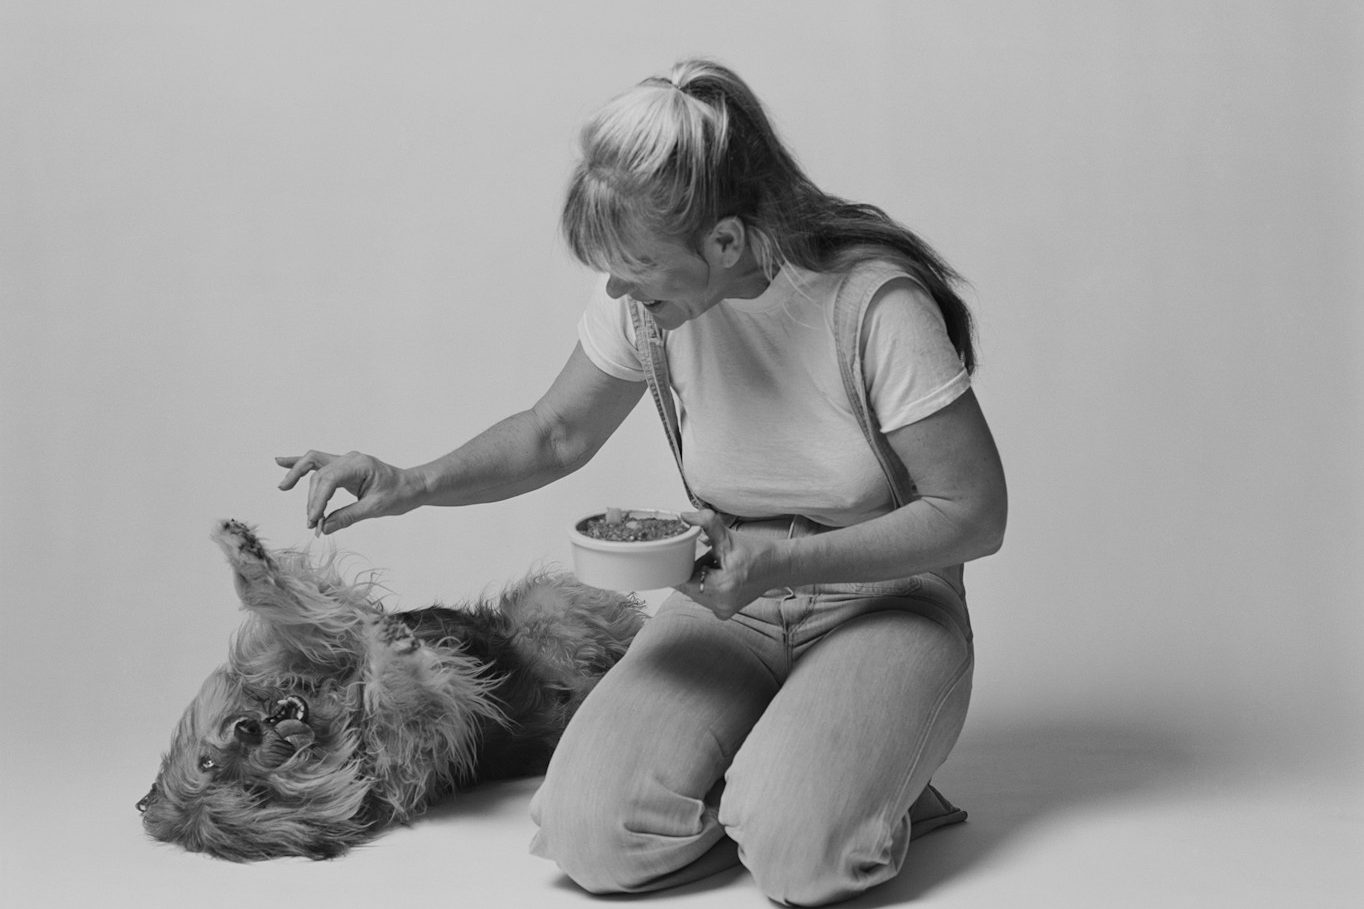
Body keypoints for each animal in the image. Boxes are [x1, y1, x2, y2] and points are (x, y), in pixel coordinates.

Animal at [137, 519, 645, 861]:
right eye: (254, 794)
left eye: (207, 760)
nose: (247, 730)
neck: (335, 716)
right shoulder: (415, 744)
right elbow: (407, 696)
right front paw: (394, 656)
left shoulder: (315, 644)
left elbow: (304, 612)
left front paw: (244, 554)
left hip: (548, 606)